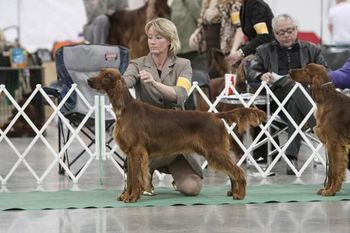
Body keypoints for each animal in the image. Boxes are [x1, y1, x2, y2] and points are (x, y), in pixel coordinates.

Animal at [87, 68, 266, 202]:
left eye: (107, 76)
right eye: (100, 72)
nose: (89, 80)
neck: (125, 109)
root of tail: (215, 115)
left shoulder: (136, 151)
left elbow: (134, 177)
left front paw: (131, 197)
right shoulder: (131, 154)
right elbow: (131, 177)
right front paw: (126, 195)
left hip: (215, 150)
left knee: (238, 171)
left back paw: (240, 194)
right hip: (214, 153)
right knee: (231, 172)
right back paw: (233, 192)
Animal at [290, 62, 350, 196]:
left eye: (306, 70)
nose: (290, 70)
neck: (326, 99)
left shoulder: (333, 143)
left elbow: (334, 170)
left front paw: (330, 191)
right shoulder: (329, 144)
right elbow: (330, 170)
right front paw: (327, 189)